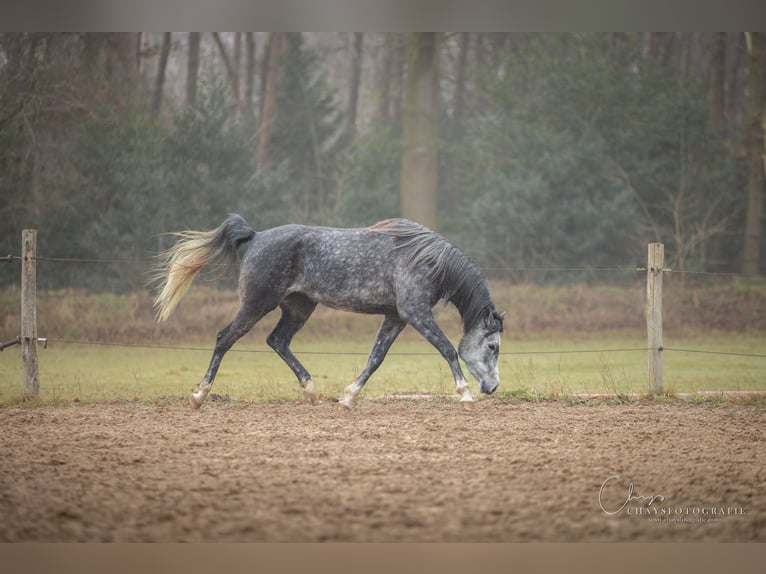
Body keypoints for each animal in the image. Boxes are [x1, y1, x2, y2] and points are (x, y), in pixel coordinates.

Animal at [153, 215, 508, 410]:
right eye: (492, 346)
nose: (492, 388)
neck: (425, 259)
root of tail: (256, 237)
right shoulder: (415, 313)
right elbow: (447, 348)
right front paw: (464, 395)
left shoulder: (396, 317)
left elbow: (375, 359)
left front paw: (348, 398)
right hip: (256, 304)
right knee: (224, 338)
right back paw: (199, 396)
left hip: (299, 307)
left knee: (277, 341)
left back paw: (311, 391)